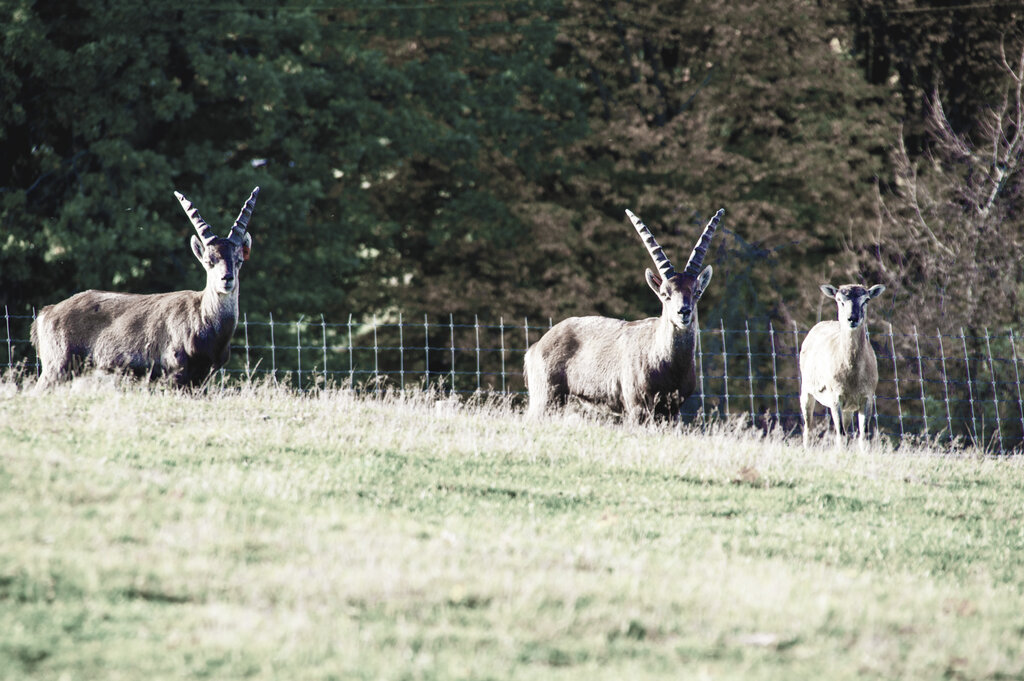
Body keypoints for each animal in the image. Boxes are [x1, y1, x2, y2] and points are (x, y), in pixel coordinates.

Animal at [798, 280, 888, 446]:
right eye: (839, 300)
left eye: (866, 300)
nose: (852, 318)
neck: (852, 378)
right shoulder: (835, 395)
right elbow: (840, 434)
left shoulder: (868, 396)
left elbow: (863, 436)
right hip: (806, 388)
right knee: (808, 429)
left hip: (848, 408)